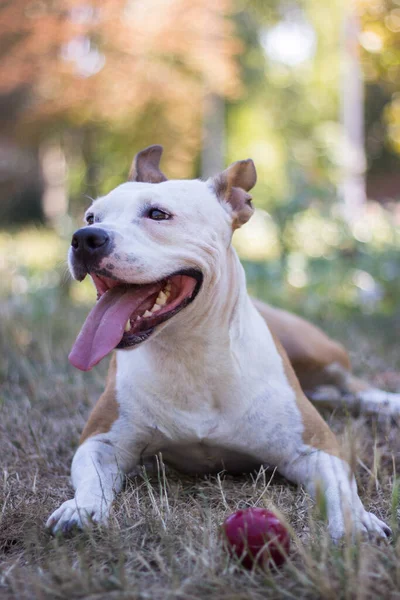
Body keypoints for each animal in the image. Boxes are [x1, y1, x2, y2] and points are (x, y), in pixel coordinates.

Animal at [46, 144, 396, 540]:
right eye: (91, 216)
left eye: (157, 214)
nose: (85, 237)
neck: (190, 352)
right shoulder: (101, 441)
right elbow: (91, 477)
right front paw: (81, 509)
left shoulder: (316, 447)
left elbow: (341, 485)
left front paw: (356, 522)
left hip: (318, 353)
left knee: (352, 385)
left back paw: (388, 403)